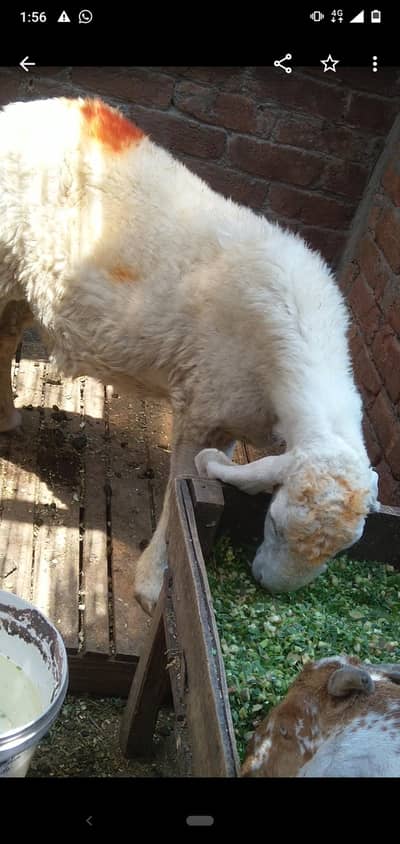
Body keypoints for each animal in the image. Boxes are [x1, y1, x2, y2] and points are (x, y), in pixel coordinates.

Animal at [0, 96, 379, 615]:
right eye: (274, 523)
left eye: (342, 551)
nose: (270, 586)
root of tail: (23, 109)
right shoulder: (203, 404)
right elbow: (182, 488)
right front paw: (154, 581)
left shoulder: (232, 415)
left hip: (20, 282)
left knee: (5, 335)